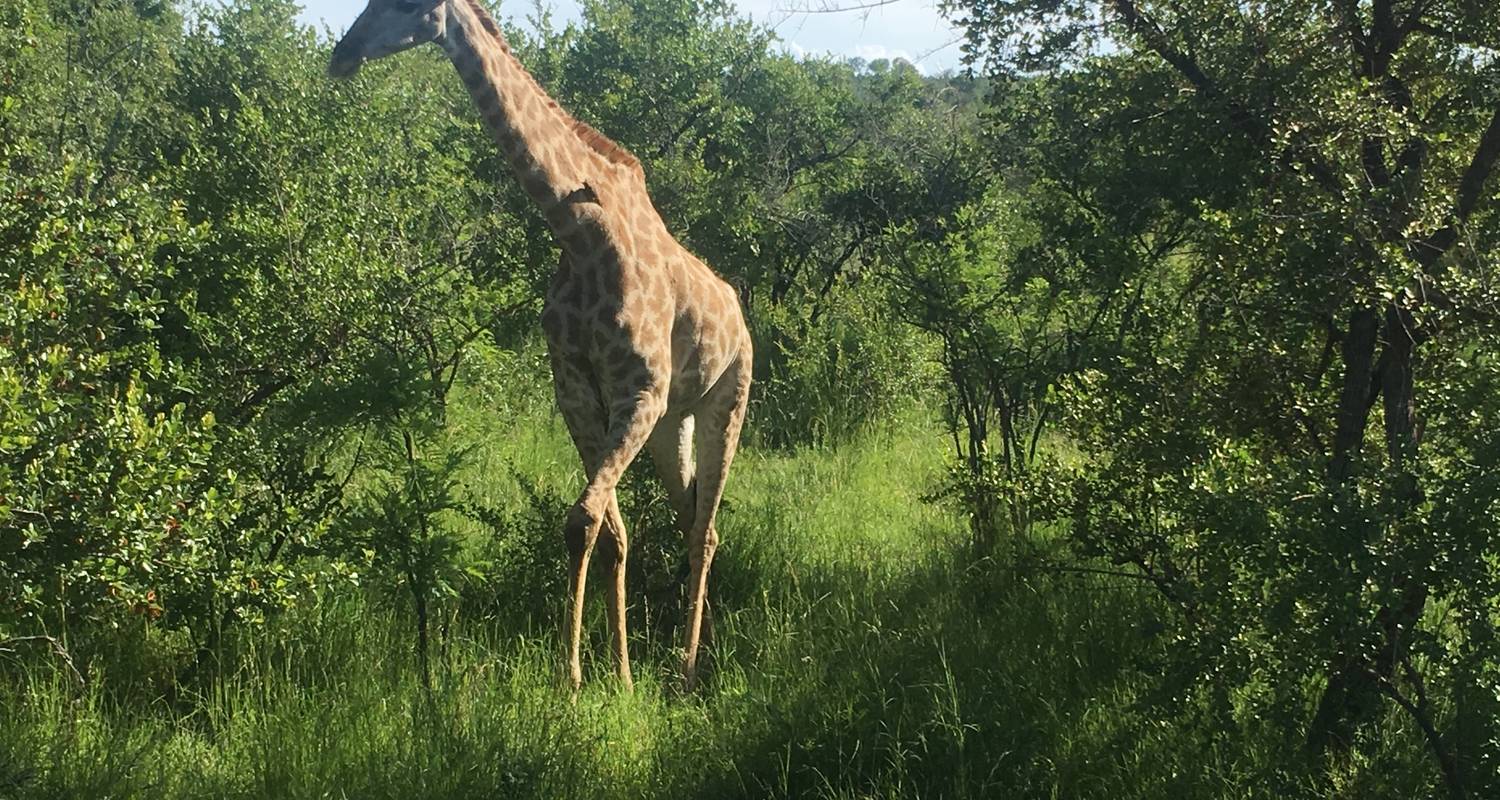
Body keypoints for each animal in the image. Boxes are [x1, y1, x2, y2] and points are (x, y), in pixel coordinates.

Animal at [328, 0, 750, 690]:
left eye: (405, 4)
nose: (342, 54)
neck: (579, 229)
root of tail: (739, 314)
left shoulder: (639, 391)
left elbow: (583, 520)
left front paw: (573, 678)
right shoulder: (577, 390)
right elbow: (610, 531)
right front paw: (618, 672)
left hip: (726, 401)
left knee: (706, 529)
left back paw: (688, 668)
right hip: (675, 424)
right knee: (690, 515)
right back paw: (702, 645)